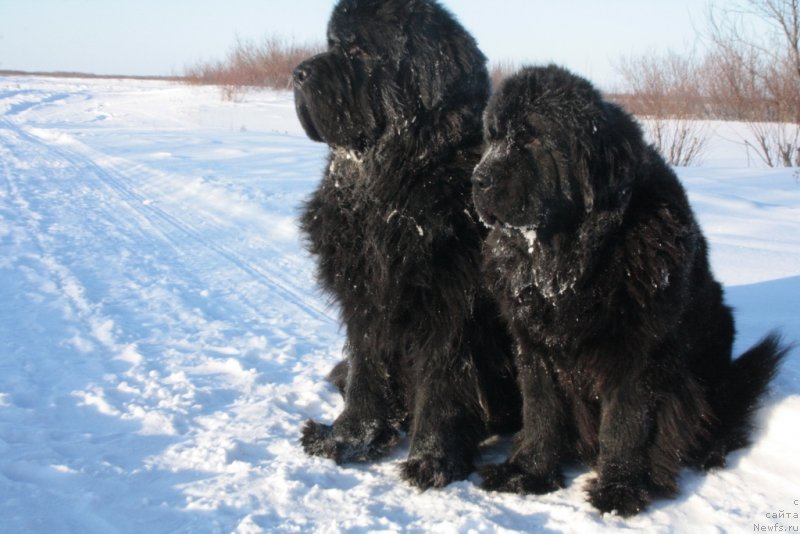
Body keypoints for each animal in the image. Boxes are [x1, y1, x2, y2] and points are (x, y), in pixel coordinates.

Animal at [294, 0, 520, 490]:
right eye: (331, 44)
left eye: (359, 50)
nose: (298, 72)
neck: (391, 188)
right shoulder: (363, 299)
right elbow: (366, 368)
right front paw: (347, 437)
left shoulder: (451, 305)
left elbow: (443, 379)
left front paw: (431, 460)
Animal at [468, 65, 788, 516]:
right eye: (492, 138)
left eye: (532, 138)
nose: (478, 179)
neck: (572, 265)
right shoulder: (534, 344)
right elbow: (541, 410)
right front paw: (528, 472)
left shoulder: (639, 350)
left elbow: (626, 423)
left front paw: (619, 488)